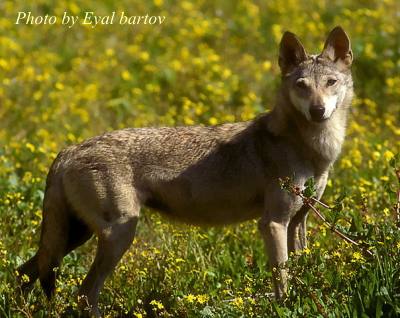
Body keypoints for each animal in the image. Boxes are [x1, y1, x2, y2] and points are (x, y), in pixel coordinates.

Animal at [16, 26, 354, 316]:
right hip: (117, 235)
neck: (312, 150)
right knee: (83, 293)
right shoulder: (273, 223)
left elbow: (300, 276)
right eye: (302, 86)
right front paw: (286, 308)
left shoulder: (298, 221)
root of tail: (68, 150)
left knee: (25, 272)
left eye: (330, 83)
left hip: (78, 236)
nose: (318, 111)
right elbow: (282, 283)